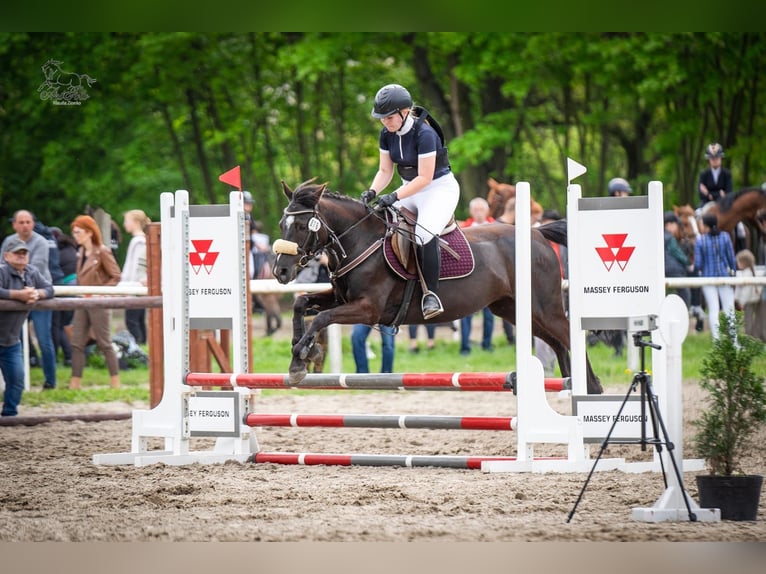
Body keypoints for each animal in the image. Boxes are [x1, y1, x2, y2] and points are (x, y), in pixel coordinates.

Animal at [272, 180, 608, 396]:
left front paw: (302, 357)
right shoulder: (340, 298)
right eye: (281, 225)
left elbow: (321, 318)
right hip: (514, 310)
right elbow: (303, 304)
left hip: (545, 308)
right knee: (557, 344)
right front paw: (301, 351)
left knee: (568, 337)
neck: (361, 240)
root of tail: (537, 234)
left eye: (301, 226)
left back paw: (591, 389)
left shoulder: (368, 310)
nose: (281, 271)